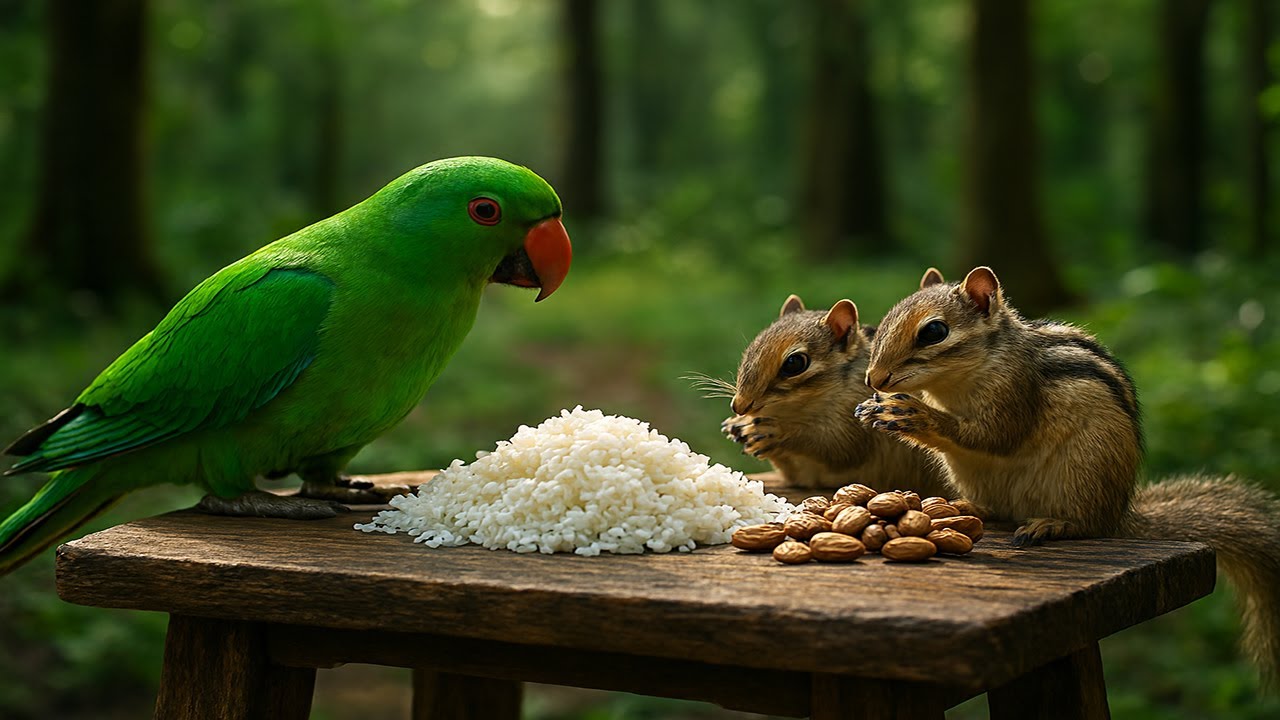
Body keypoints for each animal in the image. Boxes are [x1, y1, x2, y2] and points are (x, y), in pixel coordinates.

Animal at [713, 293, 949, 495]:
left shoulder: (856, 416)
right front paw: (738, 424)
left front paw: (775, 430)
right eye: (754, 345)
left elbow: (839, 448)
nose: (739, 406)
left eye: (794, 363)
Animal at [855, 265, 1280, 687]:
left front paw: (913, 415)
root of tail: (1120, 514)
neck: (956, 381)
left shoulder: (1015, 391)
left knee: (1089, 524)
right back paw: (966, 507)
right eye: (887, 319)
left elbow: (994, 436)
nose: (874, 379)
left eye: (933, 332)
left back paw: (1053, 524)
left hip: (1084, 475)